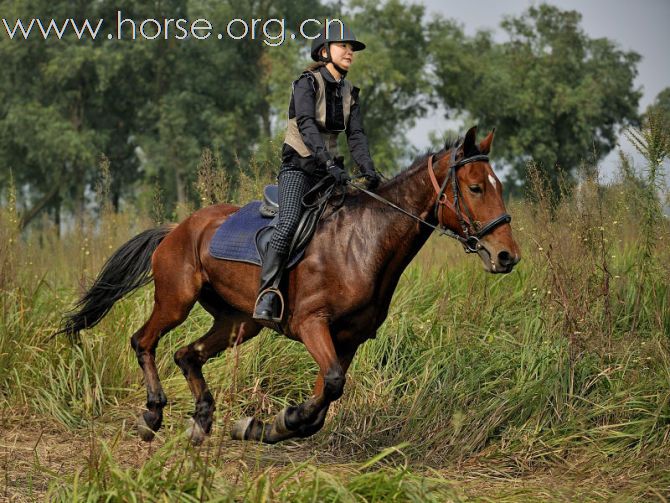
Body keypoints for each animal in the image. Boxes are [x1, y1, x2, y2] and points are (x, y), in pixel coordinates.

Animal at [57, 126, 524, 444]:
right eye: (476, 187)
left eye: (499, 186)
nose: (507, 256)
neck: (365, 241)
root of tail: (177, 228)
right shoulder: (311, 324)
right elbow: (330, 385)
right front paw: (276, 421)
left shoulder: (348, 339)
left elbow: (324, 400)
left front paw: (262, 426)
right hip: (177, 300)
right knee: (144, 341)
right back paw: (152, 416)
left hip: (239, 321)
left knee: (187, 354)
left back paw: (202, 422)